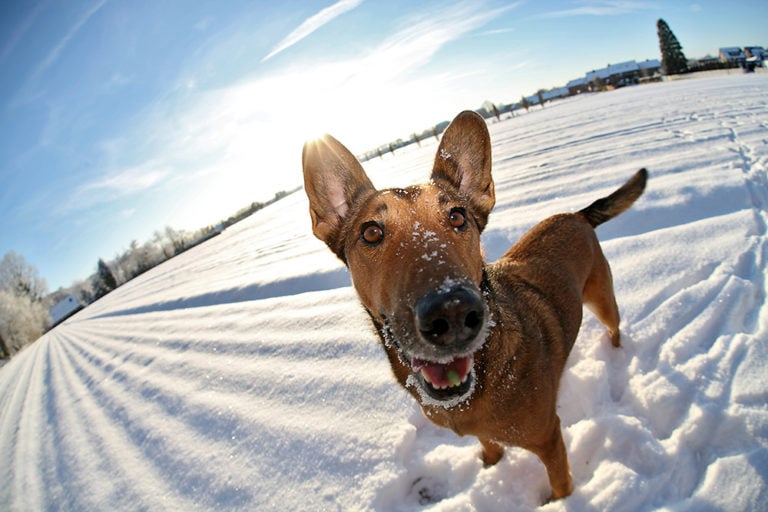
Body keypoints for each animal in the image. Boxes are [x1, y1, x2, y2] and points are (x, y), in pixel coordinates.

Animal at [304, 109, 644, 500]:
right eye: (371, 232)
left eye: (457, 217)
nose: (451, 312)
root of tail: (577, 215)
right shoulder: (485, 433)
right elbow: (490, 447)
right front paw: (491, 467)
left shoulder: (550, 440)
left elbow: (561, 487)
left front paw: (558, 503)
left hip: (603, 301)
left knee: (614, 327)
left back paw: (617, 355)